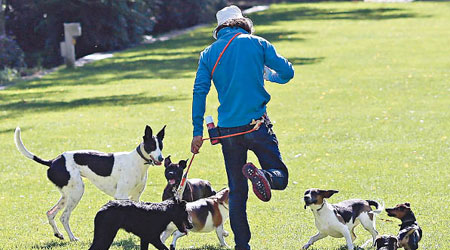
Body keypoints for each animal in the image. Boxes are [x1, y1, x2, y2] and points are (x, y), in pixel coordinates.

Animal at [13, 126, 165, 241]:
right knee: (64, 217)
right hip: (77, 192)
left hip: (67, 195)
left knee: (50, 213)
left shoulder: (136, 197)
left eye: (161, 146)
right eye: (152, 145)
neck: (137, 161)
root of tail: (53, 161)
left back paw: (59, 234)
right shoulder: (121, 196)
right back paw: (72, 238)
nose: (161, 158)